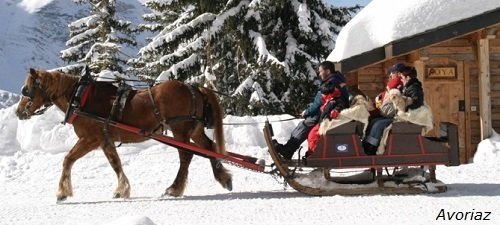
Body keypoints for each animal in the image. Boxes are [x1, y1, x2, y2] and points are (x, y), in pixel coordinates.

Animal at [15, 68, 232, 200]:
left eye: (28, 90)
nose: (18, 112)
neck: (80, 98)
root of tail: (194, 88)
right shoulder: (105, 140)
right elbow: (115, 163)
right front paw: (122, 189)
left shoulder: (91, 138)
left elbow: (68, 159)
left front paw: (62, 192)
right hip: (194, 130)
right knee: (209, 148)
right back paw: (223, 178)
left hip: (180, 130)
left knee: (186, 155)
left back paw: (174, 188)